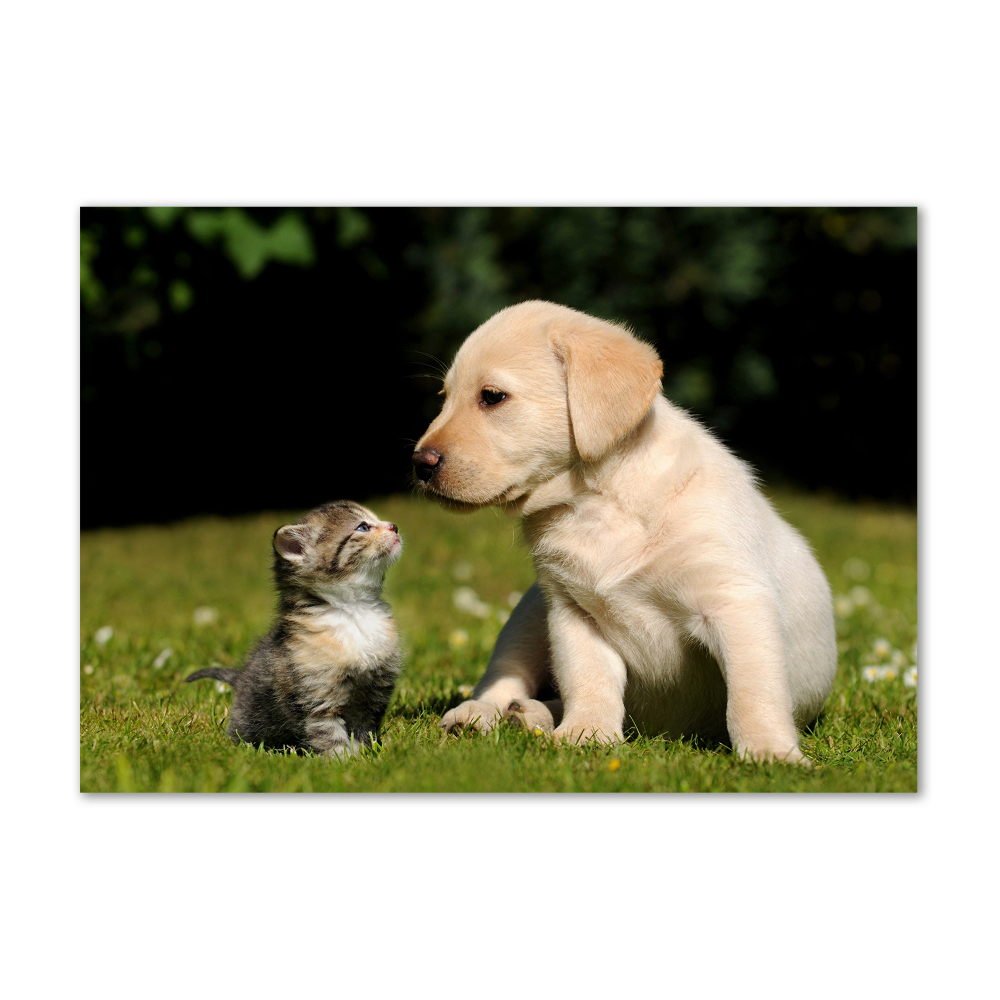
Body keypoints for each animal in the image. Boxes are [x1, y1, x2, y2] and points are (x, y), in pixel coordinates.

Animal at [186, 500, 404, 756]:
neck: (354, 611)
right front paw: (343, 760)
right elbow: (329, 735)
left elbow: (364, 731)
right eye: (362, 527)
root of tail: (240, 678)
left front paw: (367, 756)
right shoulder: (316, 698)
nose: (394, 526)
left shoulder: (373, 694)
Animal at [410, 300, 840, 760]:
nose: (419, 464)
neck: (597, 503)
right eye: (445, 398)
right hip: (528, 615)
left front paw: (770, 753)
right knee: (505, 676)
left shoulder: (736, 602)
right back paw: (486, 714)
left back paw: (530, 715)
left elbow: (753, 693)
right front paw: (586, 733)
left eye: (492, 397)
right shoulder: (573, 612)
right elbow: (589, 680)